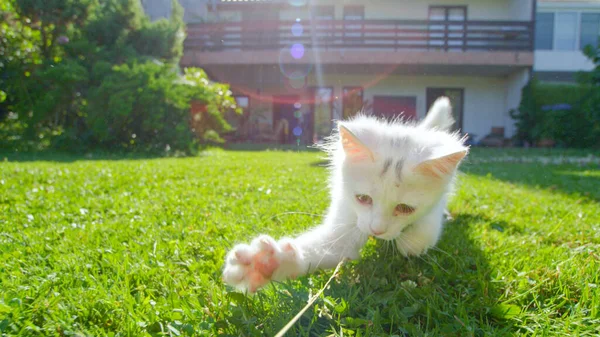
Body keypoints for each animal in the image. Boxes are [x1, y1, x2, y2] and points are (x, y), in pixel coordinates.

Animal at [223, 96, 466, 292]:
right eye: (363, 199)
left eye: (405, 208)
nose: (376, 231)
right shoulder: (346, 216)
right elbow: (324, 247)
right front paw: (264, 265)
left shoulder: (434, 205)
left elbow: (422, 234)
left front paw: (410, 241)